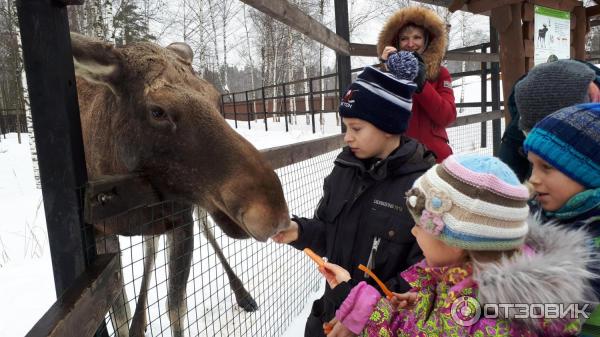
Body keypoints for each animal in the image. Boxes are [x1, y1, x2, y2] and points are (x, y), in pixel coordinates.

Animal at [70, 32, 290, 336]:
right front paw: (132, 321)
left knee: (200, 229)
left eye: (217, 99)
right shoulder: (101, 233)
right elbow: (120, 317)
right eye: (158, 111)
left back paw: (242, 293)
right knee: (151, 246)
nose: (271, 213)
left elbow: (176, 307)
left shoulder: (181, 216)